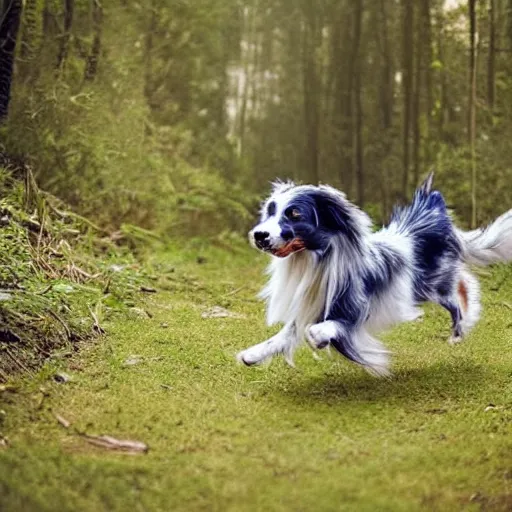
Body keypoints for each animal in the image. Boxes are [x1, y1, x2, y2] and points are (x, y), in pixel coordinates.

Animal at [236, 174, 512, 374]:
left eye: (294, 214)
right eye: (270, 212)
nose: (259, 235)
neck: (316, 260)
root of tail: (432, 215)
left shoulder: (355, 308)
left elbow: (328, 327)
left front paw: (318, 337)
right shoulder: (312, 305)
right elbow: (286, 334)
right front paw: (252, 354)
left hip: (435, 284)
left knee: (458, 293)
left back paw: (459, 331)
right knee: (464, 281)